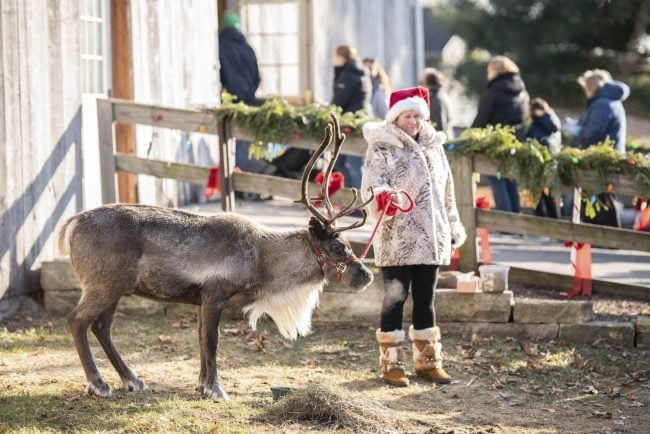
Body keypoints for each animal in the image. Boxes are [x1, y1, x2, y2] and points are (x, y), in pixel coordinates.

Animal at [58, 113, 374, 401]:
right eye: (339, 247)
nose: (367, 275)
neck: (263, 262)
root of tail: (72, 223)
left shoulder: (200, 300)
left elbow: (200, 340)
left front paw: (201, 385)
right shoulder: (214, 293)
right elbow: (211, 342)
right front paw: (215, 389)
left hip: (116, 287)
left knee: (101, 326)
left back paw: (133, 380)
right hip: (103, 284)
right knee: (76, 320)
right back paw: (99, 385)